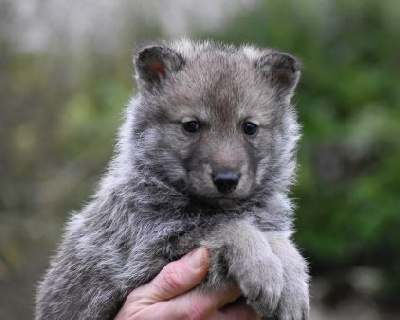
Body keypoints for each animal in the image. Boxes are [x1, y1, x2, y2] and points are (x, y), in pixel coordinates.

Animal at [35, 38, 310, 318]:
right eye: (191, 126)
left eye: (250, 127)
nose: (226, 179)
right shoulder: (151, 251)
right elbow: (231, 228)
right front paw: (262, 267)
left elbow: (277, 239)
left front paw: (292, 285)